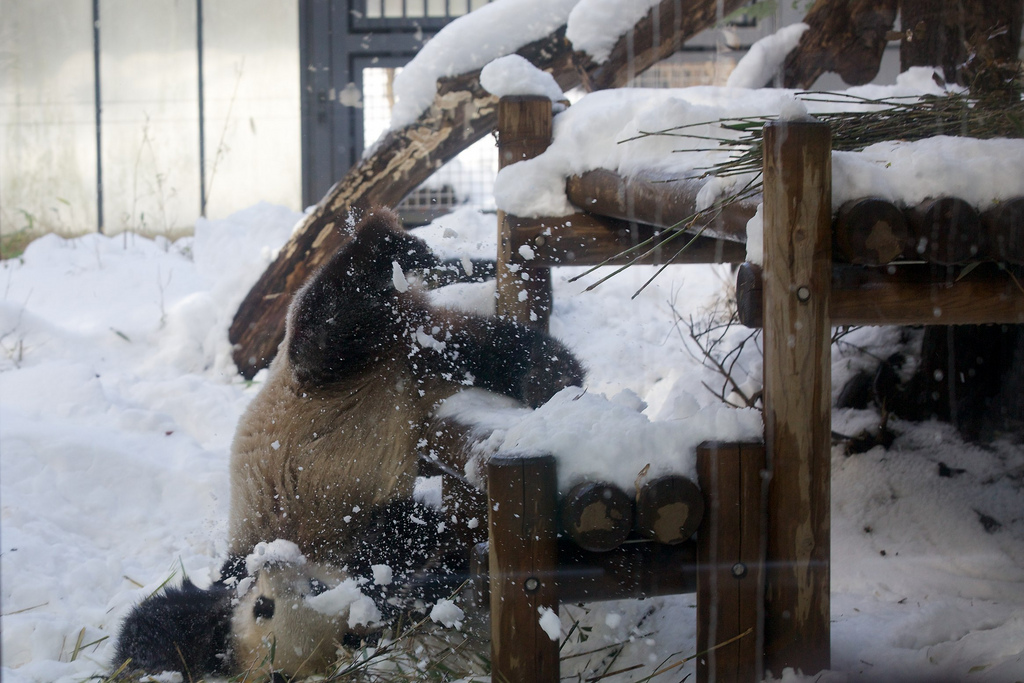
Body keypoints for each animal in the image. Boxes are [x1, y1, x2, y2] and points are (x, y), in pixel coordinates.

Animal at [112, 206, 585, 679]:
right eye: (264, 607)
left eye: (310, 587)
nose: (272, 562)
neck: (310, 549)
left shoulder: (245, 568)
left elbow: (150, 625)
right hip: (418, 356)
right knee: (479, 346)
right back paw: (547, 371)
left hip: (325, 369)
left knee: (329, 317)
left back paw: (395, 244)